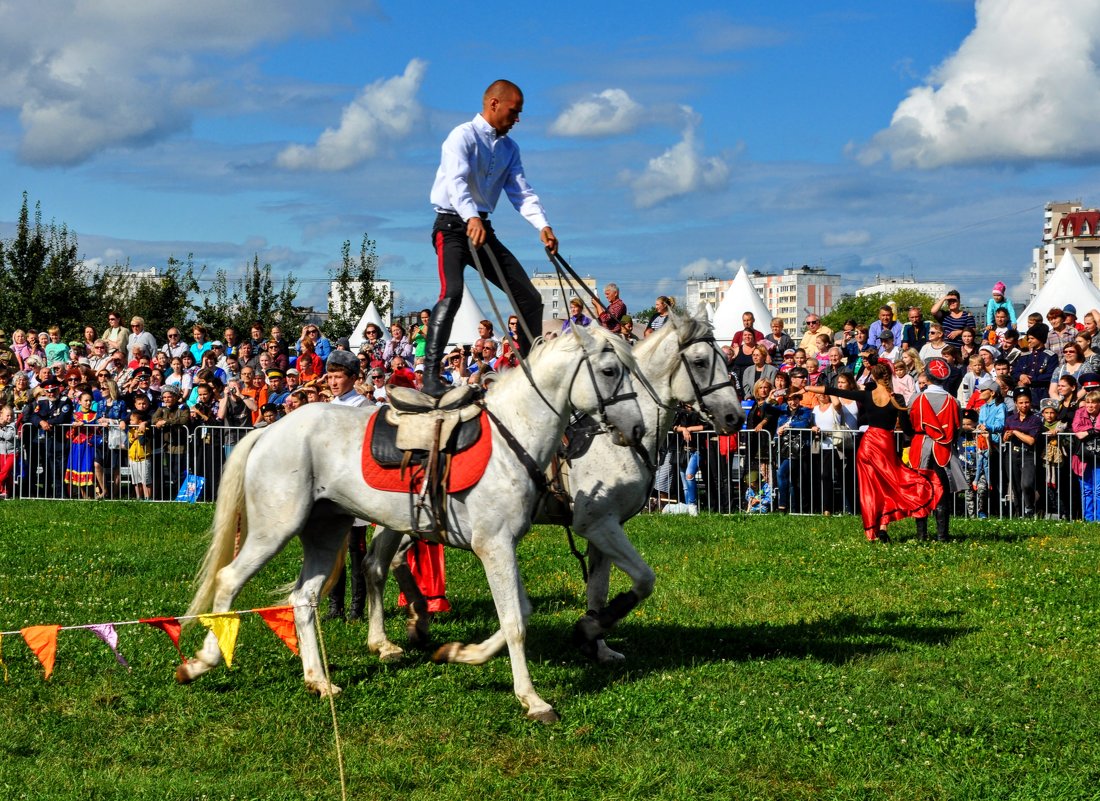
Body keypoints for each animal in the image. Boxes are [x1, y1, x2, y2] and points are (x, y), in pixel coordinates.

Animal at [178, 321, 642, 721]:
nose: (636, 429)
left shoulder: (504, 546)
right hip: (273, 530)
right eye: (609, 370)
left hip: (326, 532)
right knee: (229, 581)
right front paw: (532, 699)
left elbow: (519, 614)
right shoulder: (494, 546)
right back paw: (203, 662)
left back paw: (319, 681)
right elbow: (515, 622)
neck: (513, 437)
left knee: (303, 598)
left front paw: (458, 652)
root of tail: (269, 431)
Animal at [369, 312, 748, 668]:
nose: (734, 418)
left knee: (387, 560)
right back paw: (399, 632)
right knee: (382, 562)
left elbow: (598, 591)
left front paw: (599, 647)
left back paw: (413, 623)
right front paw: (588, 631)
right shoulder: (598, 524)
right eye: (700, 362)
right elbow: (642, 580)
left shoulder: (605, 528)